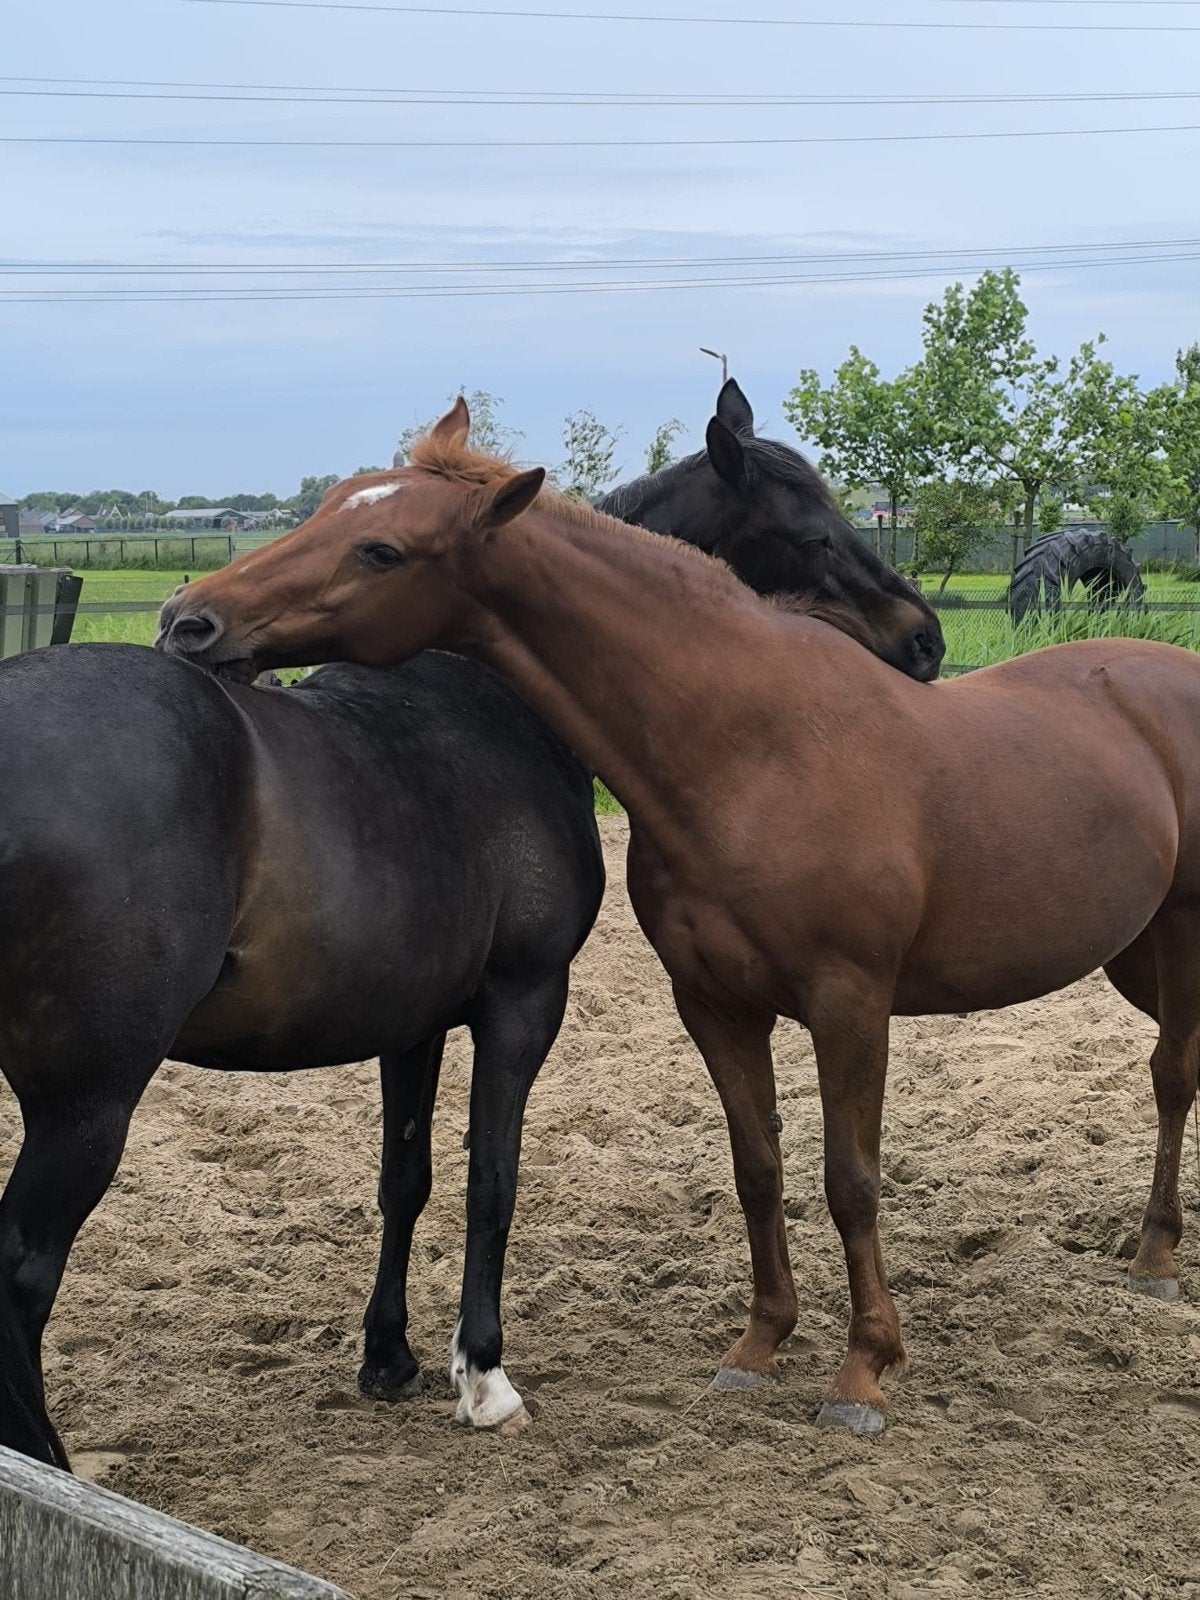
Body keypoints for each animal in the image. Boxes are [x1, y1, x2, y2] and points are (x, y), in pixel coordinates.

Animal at [0, 385, 939, 1467]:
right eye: (817, 532)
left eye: (374, 539)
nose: (924, 639)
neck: (488, 703)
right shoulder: (522, 1001)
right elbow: (493, 1176)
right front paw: (483, 1375)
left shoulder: (408, 1022)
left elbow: (403, 1178)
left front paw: (389, 1359)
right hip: (87, 1101)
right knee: (22, 1270)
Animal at [161, 396, 1200, 1438]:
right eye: (322, 511)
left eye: (380, 549)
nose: (187, 620)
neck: (754, 750)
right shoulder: (714, 1005)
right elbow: (758, 1169)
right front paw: (759, 1346)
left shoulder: (851, 1004)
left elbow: (852, 1181)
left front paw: (864, 1370)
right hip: (1138, 955)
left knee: (1172, 1077)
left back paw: (1154, 1258)